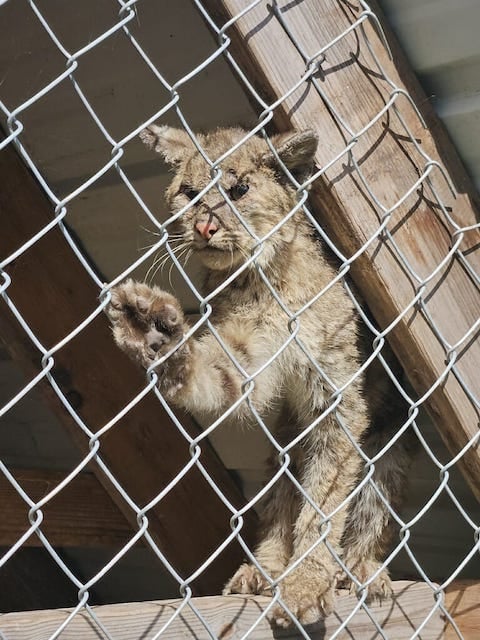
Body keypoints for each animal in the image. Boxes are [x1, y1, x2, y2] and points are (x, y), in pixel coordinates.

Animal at [107, 124, 414, 624]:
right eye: (190, 193)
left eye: (239, 191)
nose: (204, 227)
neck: (264, 278)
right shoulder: (250, 358)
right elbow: (218, 375)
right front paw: (156, 336)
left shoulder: (339, 401)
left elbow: (324, 505)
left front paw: (306, 583)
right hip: (285, 443)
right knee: (278, 502)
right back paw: (264, 569)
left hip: (387, 448)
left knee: (370, 505)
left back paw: (359, 569)